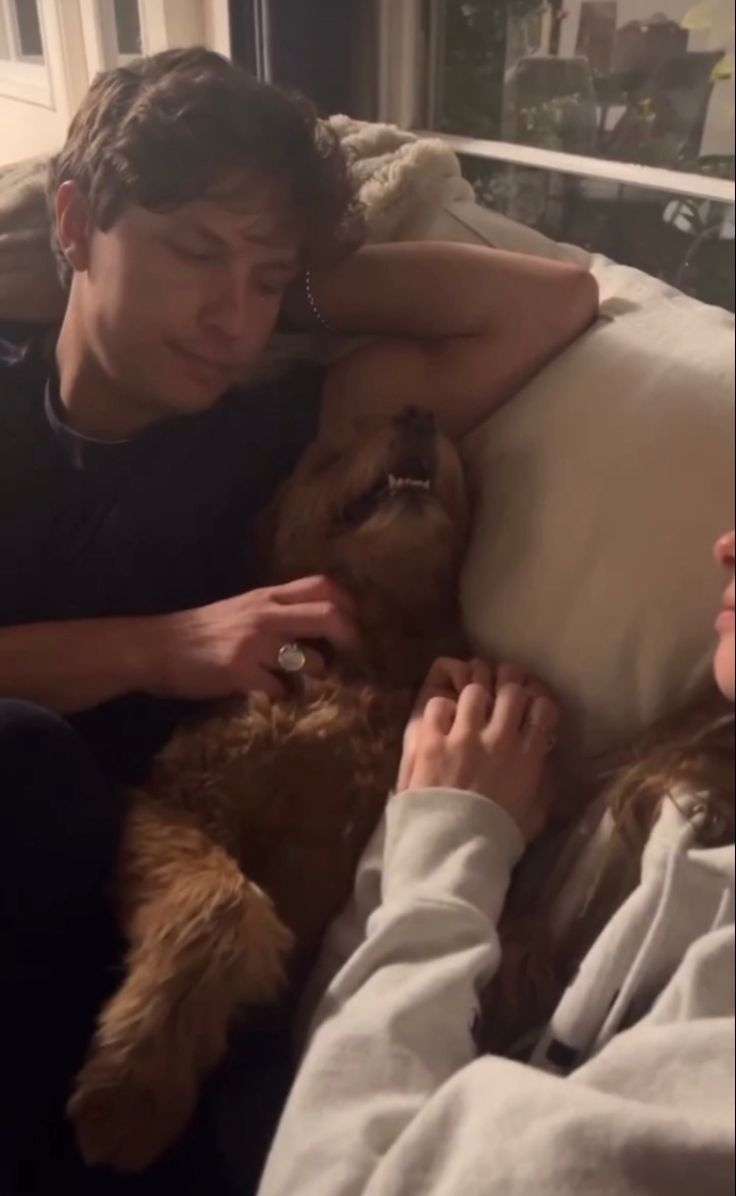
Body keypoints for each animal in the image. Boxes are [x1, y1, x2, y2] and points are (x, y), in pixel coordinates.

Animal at [70, 406, 471, 1172]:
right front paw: (132, 1090)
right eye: (331, 450)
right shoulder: (172, 799)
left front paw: (136, 1089)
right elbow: (225, 904)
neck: (357, 663)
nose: (420, 412)